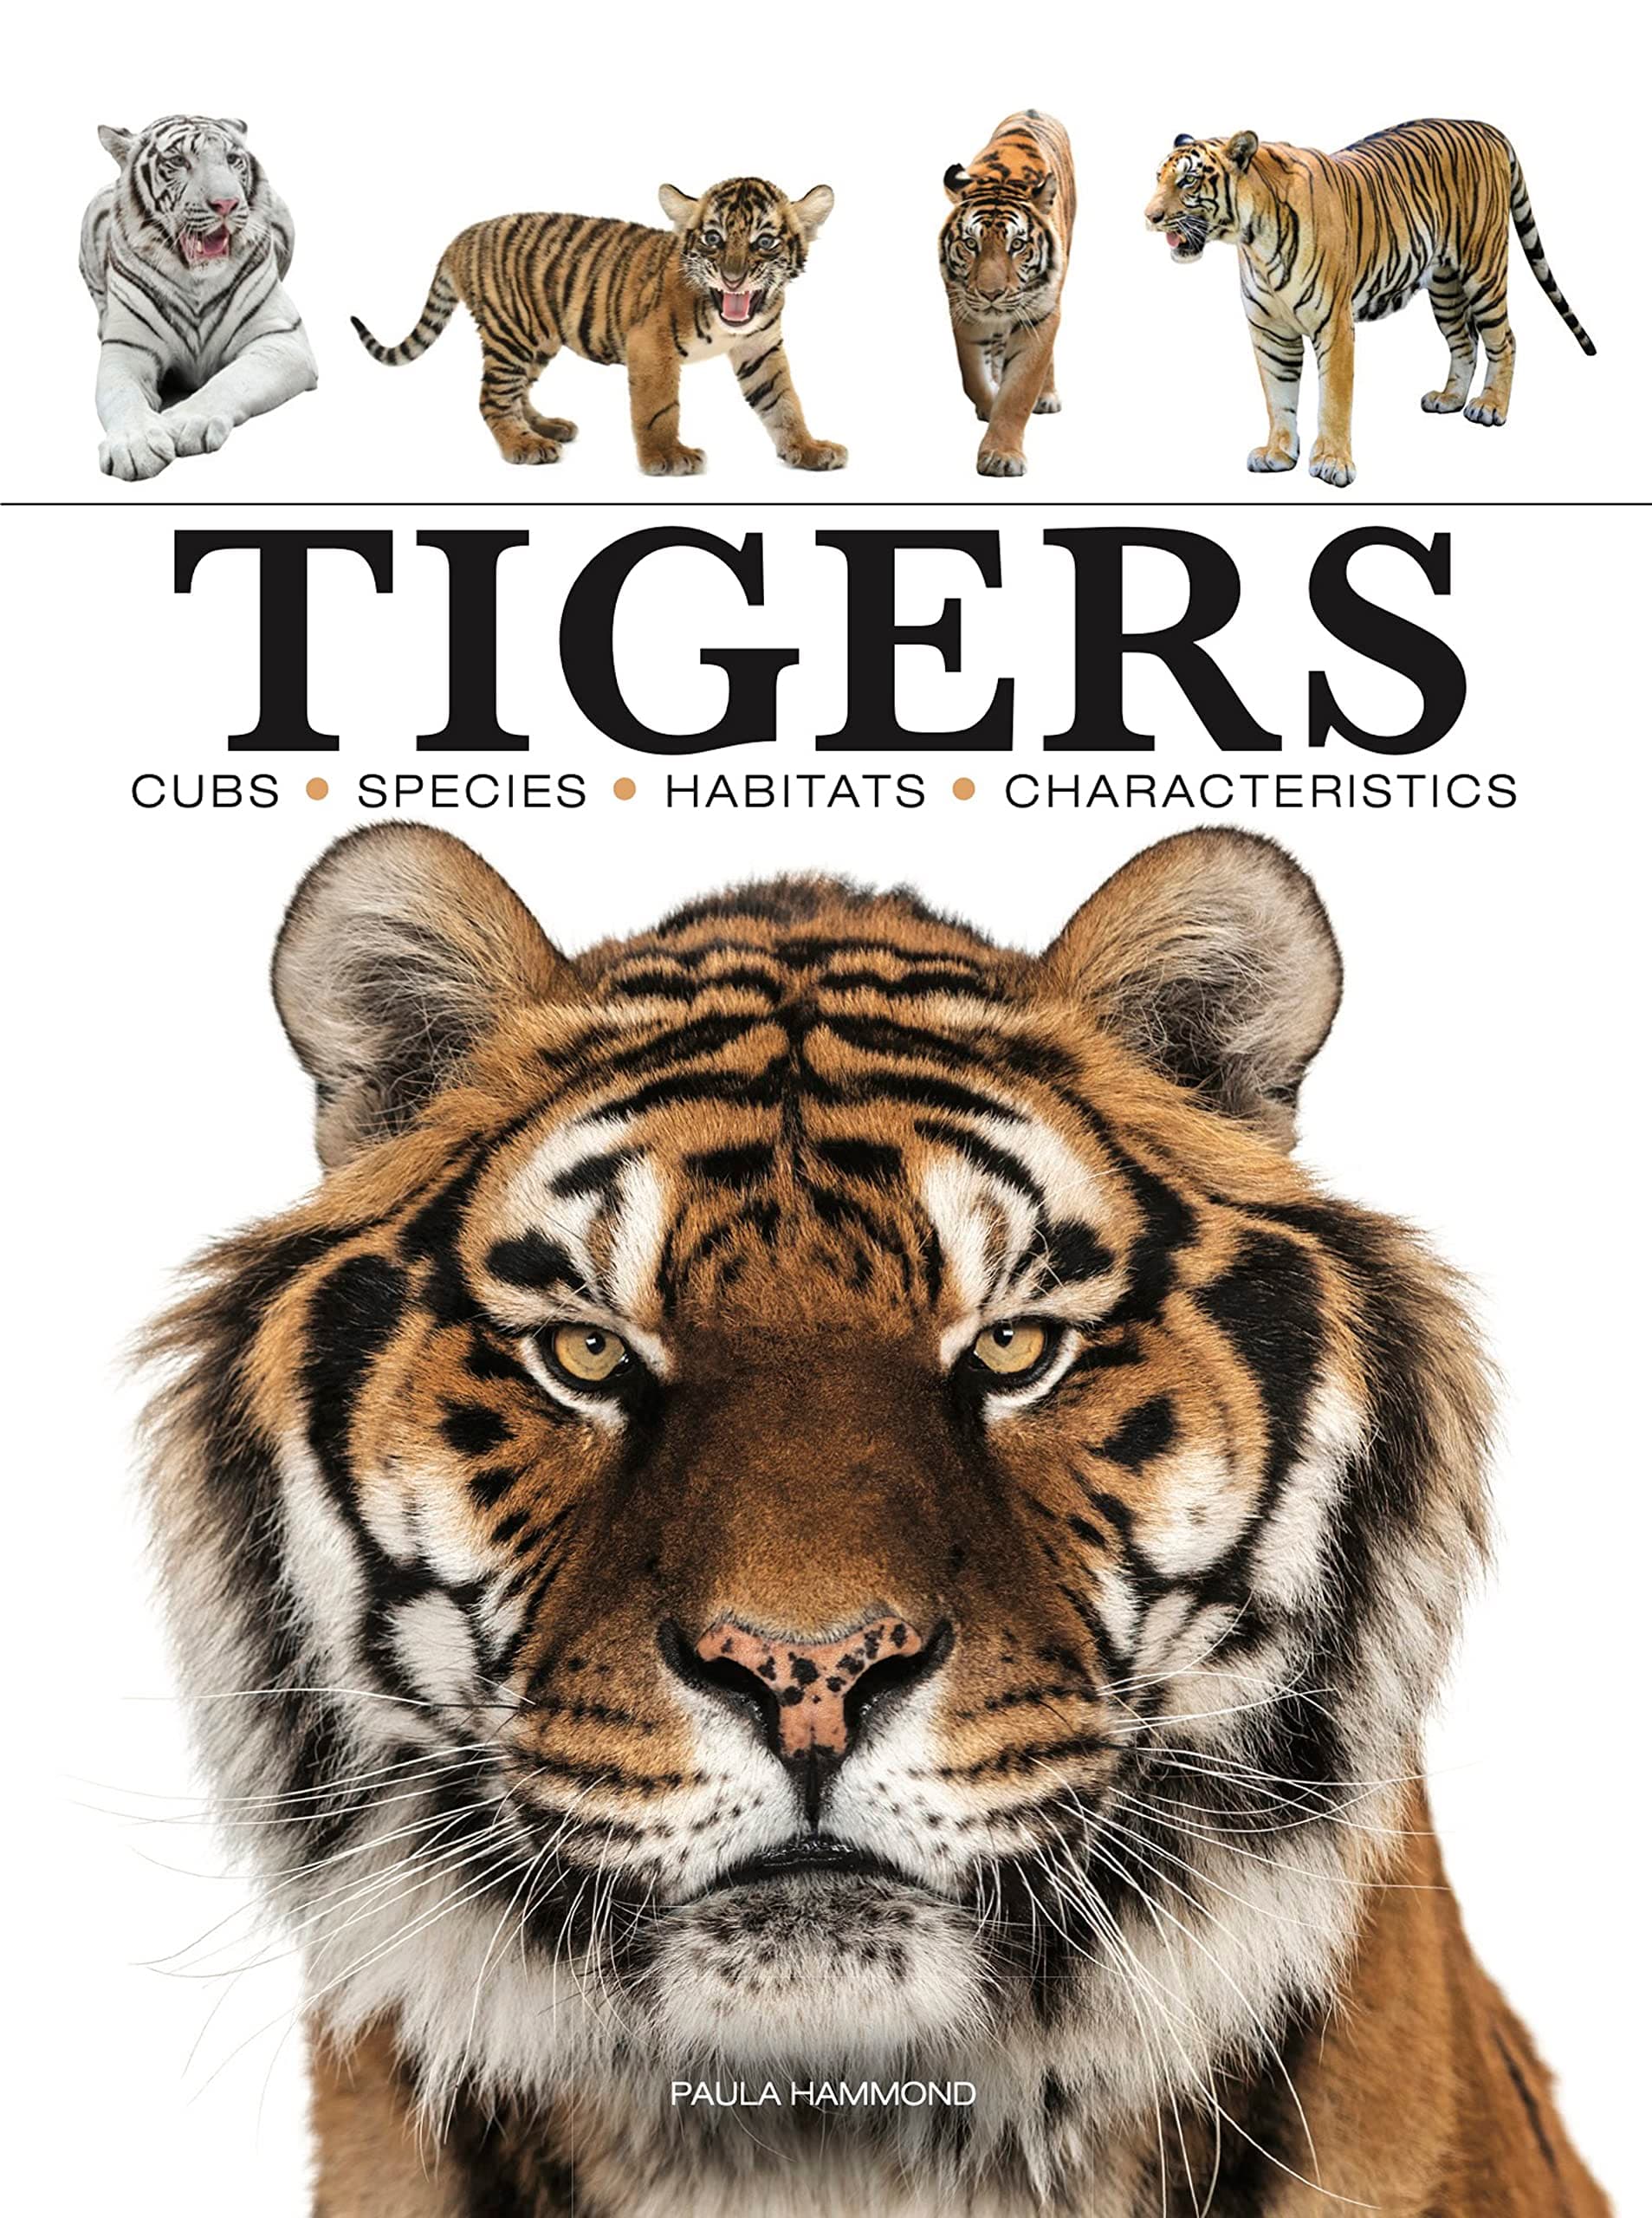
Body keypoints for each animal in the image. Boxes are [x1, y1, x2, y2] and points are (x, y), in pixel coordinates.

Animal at [79, 115, 317, 482]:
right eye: (178, 161)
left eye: (232, 160)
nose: (227, 204)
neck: (196, 279)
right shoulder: (127, 349)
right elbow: (122, 396)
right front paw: (135, 445)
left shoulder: (281, 339)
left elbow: (229, 381)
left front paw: (182, 424)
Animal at [350, 179, 845, 475]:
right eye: (713, 239)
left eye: (765, 242)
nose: (733, 278)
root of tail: (462, 236)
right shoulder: (651, 346)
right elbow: (659, 409)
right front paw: (667, 457)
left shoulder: (760, 349)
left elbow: (783, 402)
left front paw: (808, 448)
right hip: (511, 334)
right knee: (492, 398)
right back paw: (522, 445)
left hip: (538, 340)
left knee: (517, 392)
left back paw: (545, 428)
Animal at [940, 109, 1075, 477]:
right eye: (971, 244)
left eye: (1017, 245)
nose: (992, 294)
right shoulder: (964, 311)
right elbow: (973, 377)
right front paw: (988, 406)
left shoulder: (1041, 316)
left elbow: (1018, 393)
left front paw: (1001, 454)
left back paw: (1047, 395)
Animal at [1143, 118, 1596, 488]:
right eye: (1158, 179)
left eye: (1187, 182)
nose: (1148, 216)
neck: (1252, 239)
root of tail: (1488, 128)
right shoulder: (1271, 333)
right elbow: (1278, 396)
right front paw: (1278, 453)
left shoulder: (1334, 324)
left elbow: (1333, 399)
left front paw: (1333, 463)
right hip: (1445, 286)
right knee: (1464, 342)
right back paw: (1449, 399)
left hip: (1483, 268)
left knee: (1505, 339)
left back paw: (1490, 407)